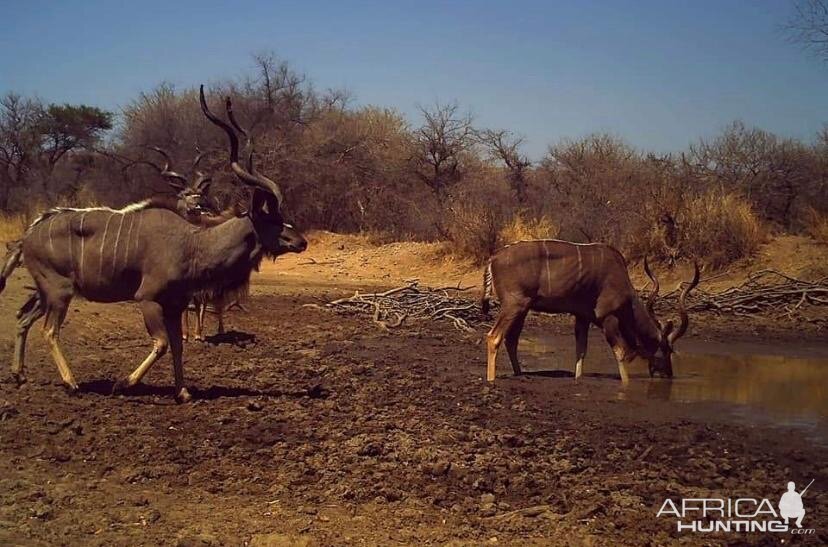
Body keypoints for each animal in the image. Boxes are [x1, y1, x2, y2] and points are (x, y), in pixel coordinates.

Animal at [0, 85, 308, 402]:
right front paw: (124, 383)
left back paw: (20, 375)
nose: (302, 241)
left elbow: (178, 345)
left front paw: (183, 392)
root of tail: (27, 237)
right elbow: (161, 344)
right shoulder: (147, 299)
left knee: (23, 318)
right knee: (49, 330)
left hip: (45, 293)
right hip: (59, 292)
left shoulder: (175, 305)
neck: (192, 244)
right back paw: (71, 383)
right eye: (271, 220)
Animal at [478, 240, 700, 386]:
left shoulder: (582, 318)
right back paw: (491, 379)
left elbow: (581, 349)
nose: (668, 374)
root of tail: (493, 258)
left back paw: (520, 374)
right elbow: (620, 351)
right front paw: (626, 384)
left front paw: (578, 378)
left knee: (511, 339)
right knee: (494, 337)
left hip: (522, 309)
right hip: (513, 306)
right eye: (667, 350)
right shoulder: (607, 317)